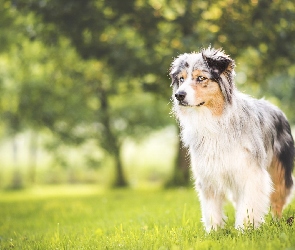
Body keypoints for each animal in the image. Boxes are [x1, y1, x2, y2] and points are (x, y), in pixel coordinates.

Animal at [170, 46, 294, 230]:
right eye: (181, 79)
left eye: (201, 78)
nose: (178, 95)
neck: (213, 120)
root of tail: (275, 107)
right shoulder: (209, 172)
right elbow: (211, 207)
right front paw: (214, 231)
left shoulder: (250, 171)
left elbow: (249, 203)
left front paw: (245, 229)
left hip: (280, 170)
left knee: (278, 199)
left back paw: (277, 223)